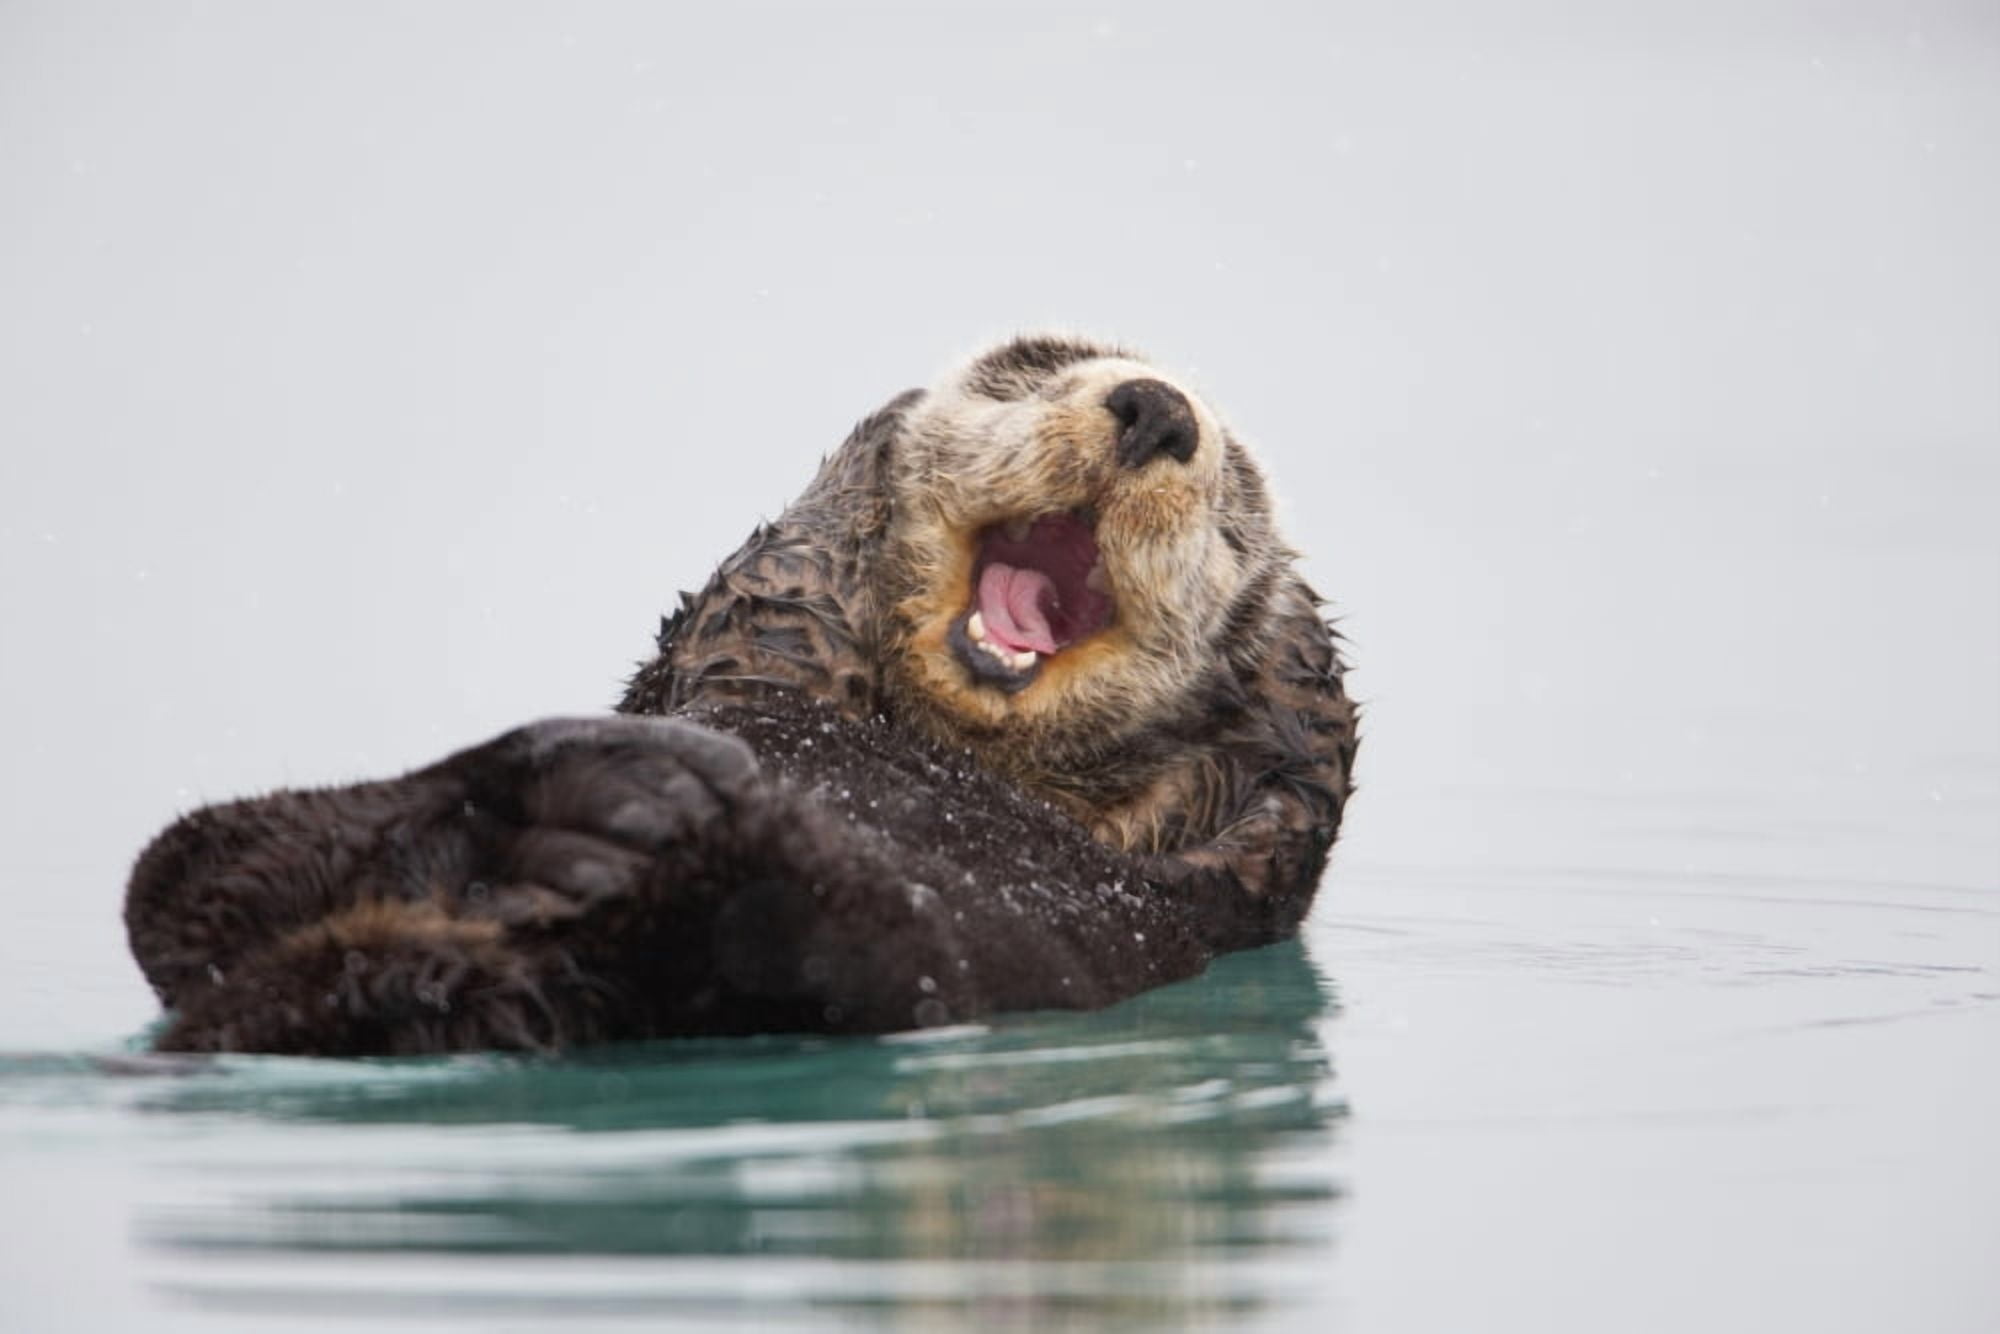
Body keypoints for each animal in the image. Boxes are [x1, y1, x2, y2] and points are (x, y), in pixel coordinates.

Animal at [124, 335, 1358, 1055]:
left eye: (1237, 504)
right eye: (1029, 367)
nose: (1157, 408)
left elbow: (1289, 780)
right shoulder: (762, 636)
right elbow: (770, 601)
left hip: (894, 947)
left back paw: (632, 811)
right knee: (189, 882)